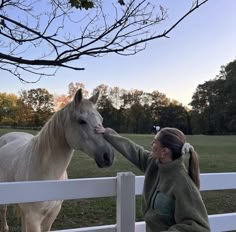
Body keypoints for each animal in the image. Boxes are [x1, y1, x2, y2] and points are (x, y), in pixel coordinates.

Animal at [0, 88, 114, 231]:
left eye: (101, 119)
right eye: (82, 121)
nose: (108, 156)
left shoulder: (52, 214)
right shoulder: (33, 218)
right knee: (3, 212)